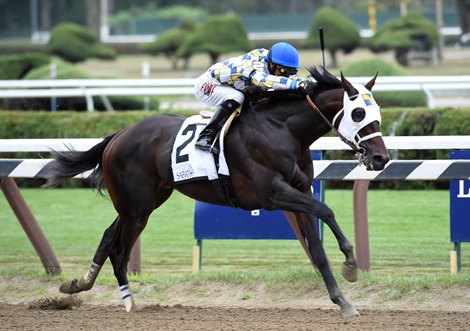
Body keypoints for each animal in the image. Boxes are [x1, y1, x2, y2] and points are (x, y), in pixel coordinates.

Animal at [43, 67, 390, 320]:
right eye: (358, 114)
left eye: (378, 112)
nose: (380, 158)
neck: (283, 129)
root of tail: (118, 136)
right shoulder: (272, 193)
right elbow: (326, 211)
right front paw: (351, 264)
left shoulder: (299, 190)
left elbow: (316, 248)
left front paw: (343, 300)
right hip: (136, 207)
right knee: (118, 248)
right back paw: (127, 302)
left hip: (144, 203)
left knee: (107, 237)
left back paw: (78, 284)